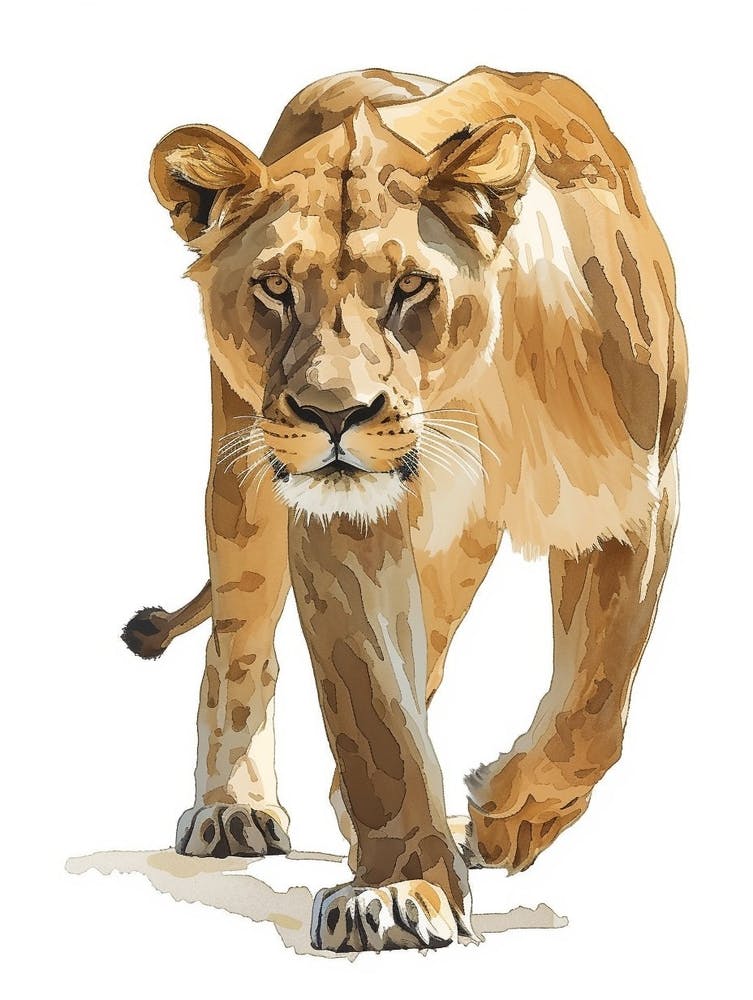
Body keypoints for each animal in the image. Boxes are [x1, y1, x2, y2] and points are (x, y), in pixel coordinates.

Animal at [122, 66, 687, 952]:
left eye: (410, 287)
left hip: (454, 556)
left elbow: (595, 703)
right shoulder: (339, 523)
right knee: (239, 646)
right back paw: (232, 810)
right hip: (241, 477)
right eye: (275, 287)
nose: (333, 414)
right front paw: (399, 889)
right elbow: (375, 710)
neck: (479, 392)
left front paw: (505, 819)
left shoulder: (637, 502)